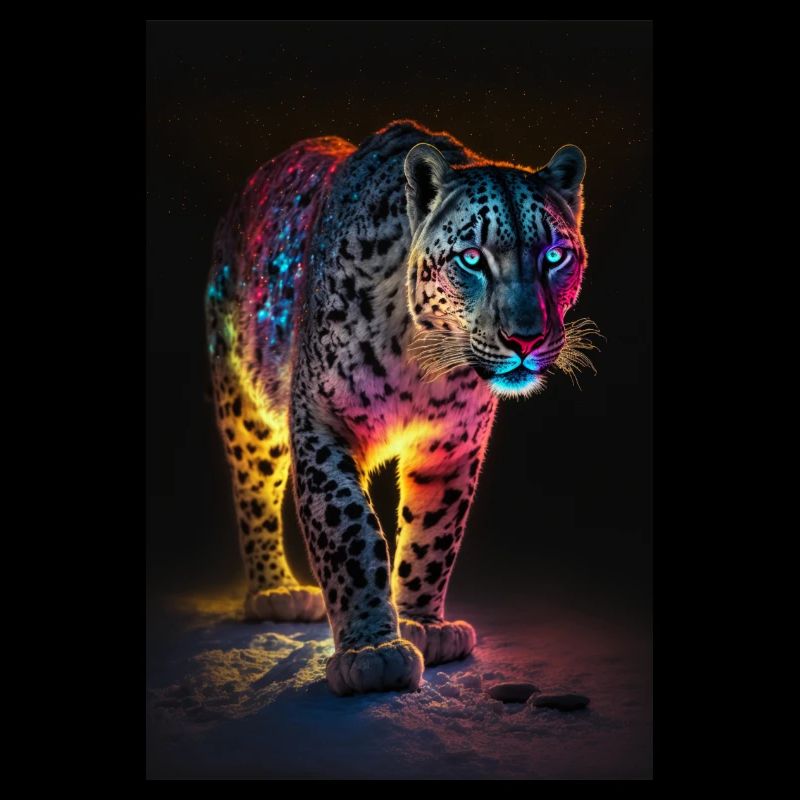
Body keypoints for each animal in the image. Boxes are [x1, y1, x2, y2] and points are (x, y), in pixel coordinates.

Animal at [205, 120, 595, 695]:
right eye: (472, 259)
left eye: (554, 256)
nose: (525, 338)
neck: (421, 356)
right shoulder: (322, 420)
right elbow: (349, 530)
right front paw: (372, 652)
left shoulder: (452, 444)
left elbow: (435, 533)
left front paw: (423, 625)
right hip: (245, 404)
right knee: (252, 489)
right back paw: (274, 591)